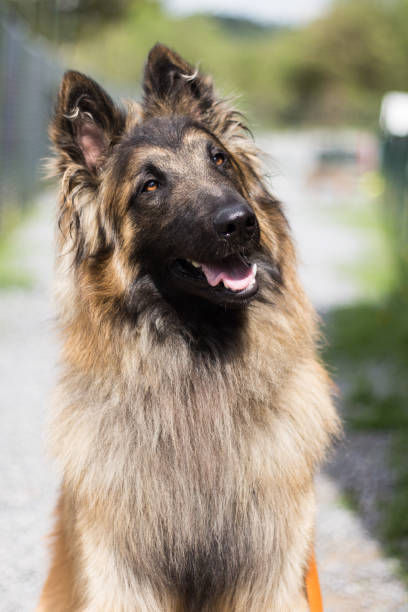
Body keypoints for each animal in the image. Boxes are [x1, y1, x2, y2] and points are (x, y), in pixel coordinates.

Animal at [37, 44, 338, 612]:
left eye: (218, 159)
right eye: (150, 185)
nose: (240, 223)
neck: (198, 363)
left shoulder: (271, 570)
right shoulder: (120, 573)